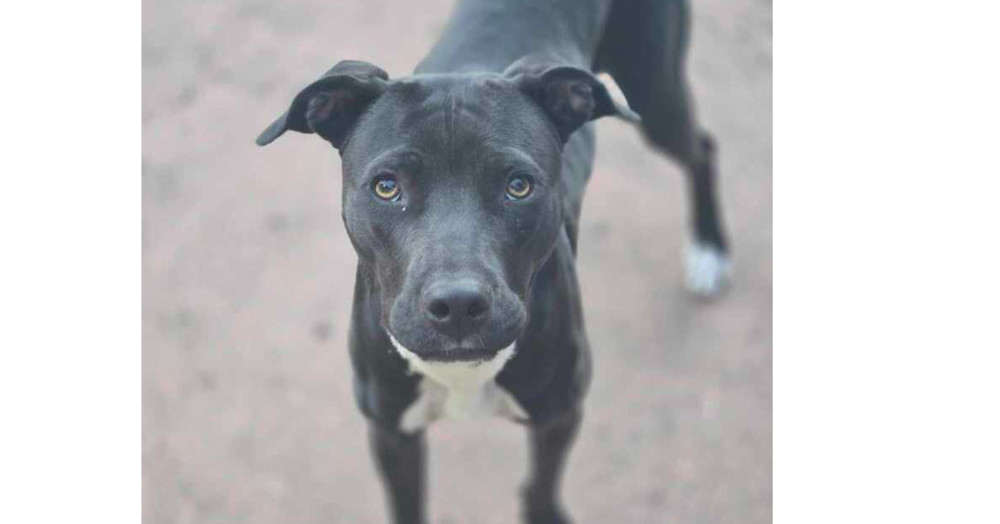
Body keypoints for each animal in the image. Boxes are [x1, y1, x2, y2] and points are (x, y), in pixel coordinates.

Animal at [256, 0, 728, 520]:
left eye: (518, 186)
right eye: (386, 186)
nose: (458, 305)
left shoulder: (559, 415)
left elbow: (540, 488)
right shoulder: (391, 433)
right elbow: (407, 502)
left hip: (654, 90)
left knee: (701, 147)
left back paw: (709, 249)